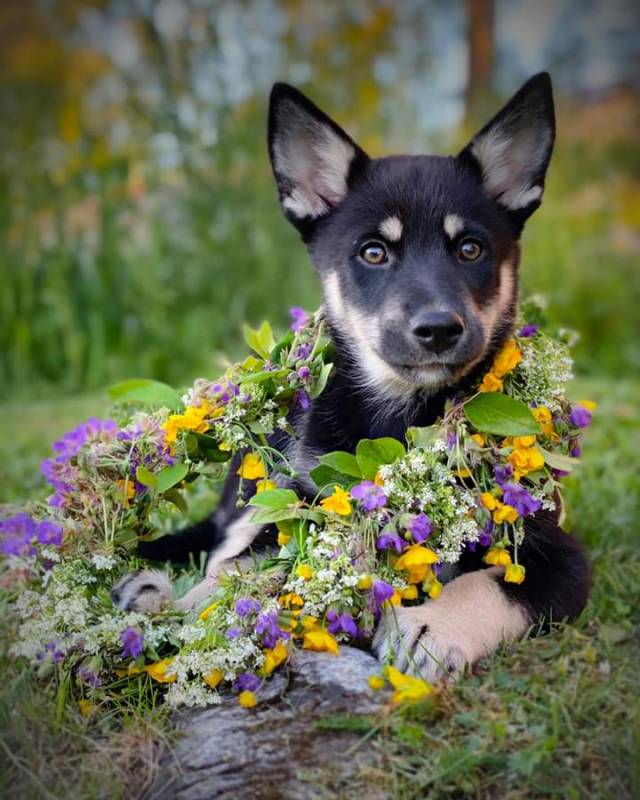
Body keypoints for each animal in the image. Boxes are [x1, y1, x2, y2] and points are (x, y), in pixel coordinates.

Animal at [114, 72, 592, 680]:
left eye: (470, 248)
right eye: (373, 252)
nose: (438, 329)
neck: (403, 414)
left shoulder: (558, 555)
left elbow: (494, 585)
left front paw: (430, 627)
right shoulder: (306, 501)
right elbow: (256, 562)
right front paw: (195, 610)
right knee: (229, 539)